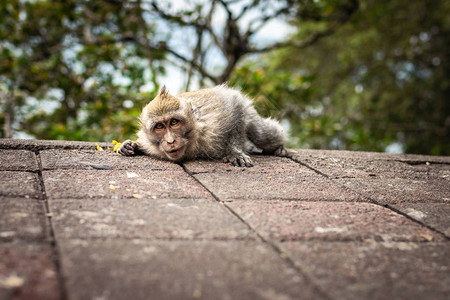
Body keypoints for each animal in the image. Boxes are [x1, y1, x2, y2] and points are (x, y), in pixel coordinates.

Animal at [118, 84, 290, 166]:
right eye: (159, 126)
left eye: (174, 122)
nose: (170, 141)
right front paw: (129, 145)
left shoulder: (213, 124)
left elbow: (235, 109)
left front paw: (235, 153)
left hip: (248, 109)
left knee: (263, 136)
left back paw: (279, 147)